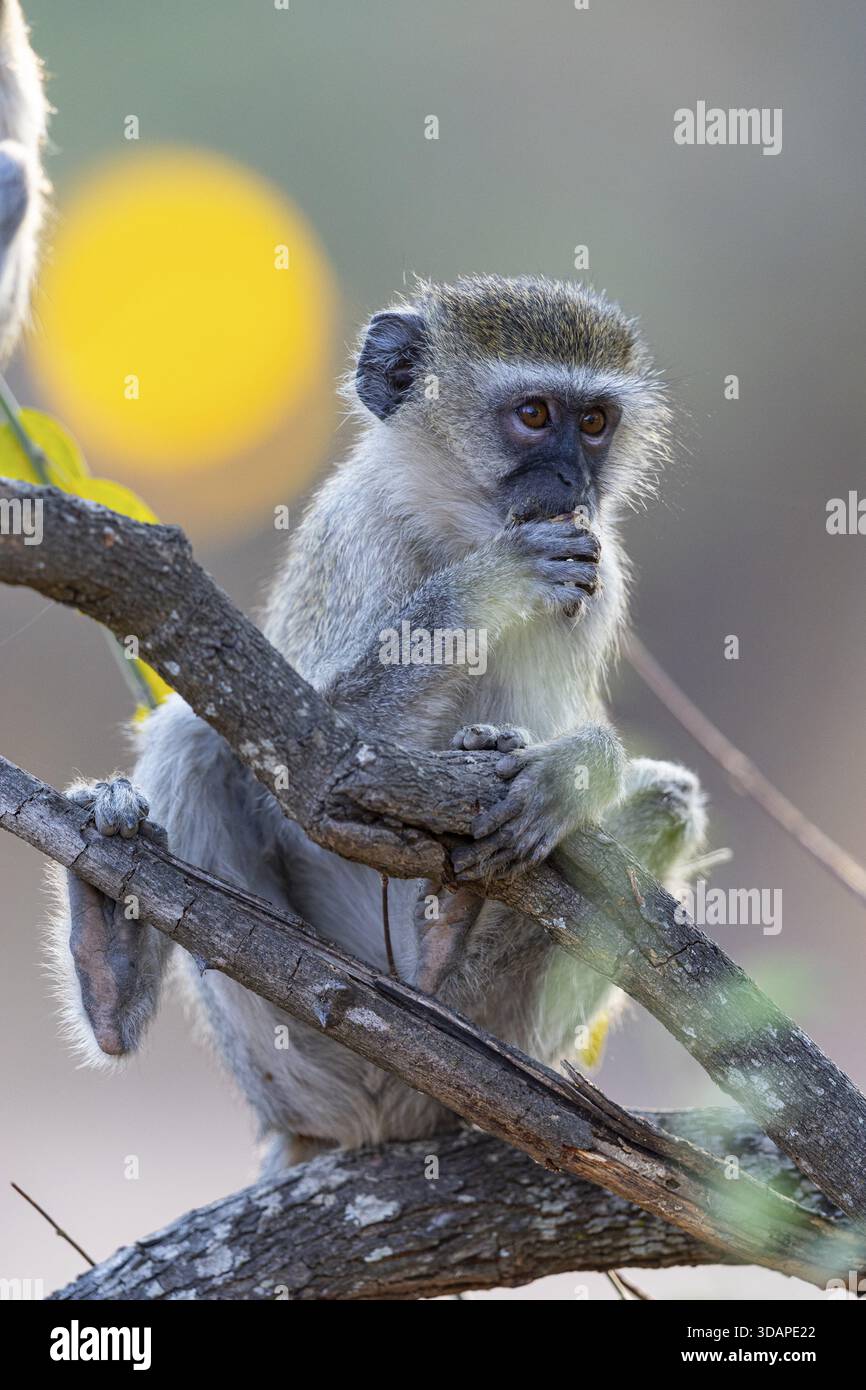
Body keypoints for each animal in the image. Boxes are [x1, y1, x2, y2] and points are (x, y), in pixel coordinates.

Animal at [47, 274, 707, 1171]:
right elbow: (317, 761)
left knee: (668, 803)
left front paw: (569, 769)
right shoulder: (363, 538)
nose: (574, 481)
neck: (456, 527)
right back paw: (109, 963)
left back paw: (446, 962)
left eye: (596, 422)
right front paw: (489, 586)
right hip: (303, 1061)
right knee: (194, 736)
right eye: (534, 414)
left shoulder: (596, 578)